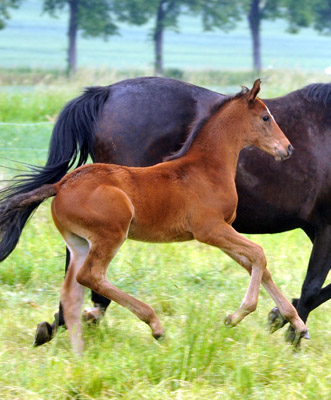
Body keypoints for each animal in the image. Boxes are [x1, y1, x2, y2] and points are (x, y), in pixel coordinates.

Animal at [3, 80, 312, 350]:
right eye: (266, 117)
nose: (288, 148)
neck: (205, 168)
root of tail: (60, 184)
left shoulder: (223, 230)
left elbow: (256, 265)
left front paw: (297, 324)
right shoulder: (210, 230)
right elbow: (259, 254)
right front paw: (236, 316)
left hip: (79, 242)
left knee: (72, 291)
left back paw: (74, 346)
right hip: (111, 234)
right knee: (92, 276)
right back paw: (155, 325)